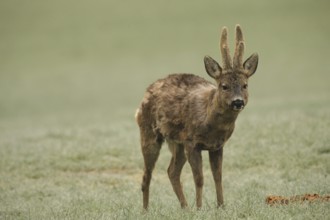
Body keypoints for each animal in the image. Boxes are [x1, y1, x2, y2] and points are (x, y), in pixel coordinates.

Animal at [135, 24, 260, 209]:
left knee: (171, 171)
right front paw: (200, 208)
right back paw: (146, 210)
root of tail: (148, 90)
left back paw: (185, 207)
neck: (209, 122)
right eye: (224, 86)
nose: (238, 101)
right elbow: (199, 178)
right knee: (147, 175)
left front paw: (221, 206)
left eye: (245, 85)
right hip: (149, 132)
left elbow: (218, 177)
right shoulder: (191, 142)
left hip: (176, 142)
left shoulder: (217, 146)